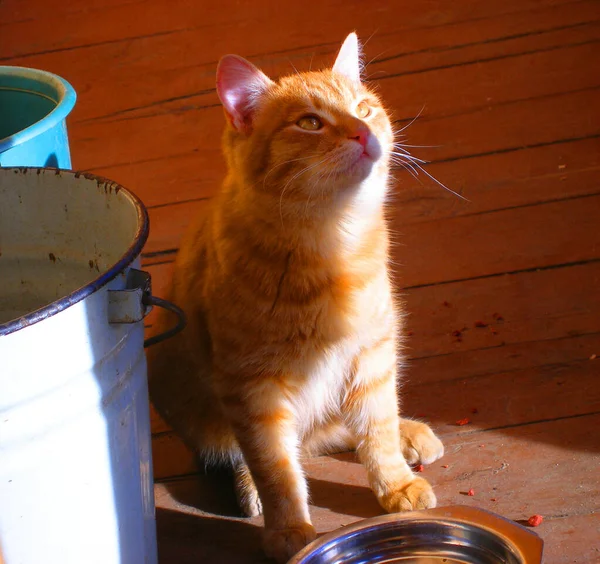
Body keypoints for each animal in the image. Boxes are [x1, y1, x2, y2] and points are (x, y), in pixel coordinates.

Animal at [148, 33, 442, 560]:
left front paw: (394, 483)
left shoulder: (371, 355)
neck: (331, 241)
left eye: (363, 109)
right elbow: (275, 465)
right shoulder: (253, 387)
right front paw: (288, 529)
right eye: (310, 123)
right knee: (265, 449)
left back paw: (407, 432)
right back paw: (248, 488)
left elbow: (376, 430)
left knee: (341, 427)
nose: (363, 134)